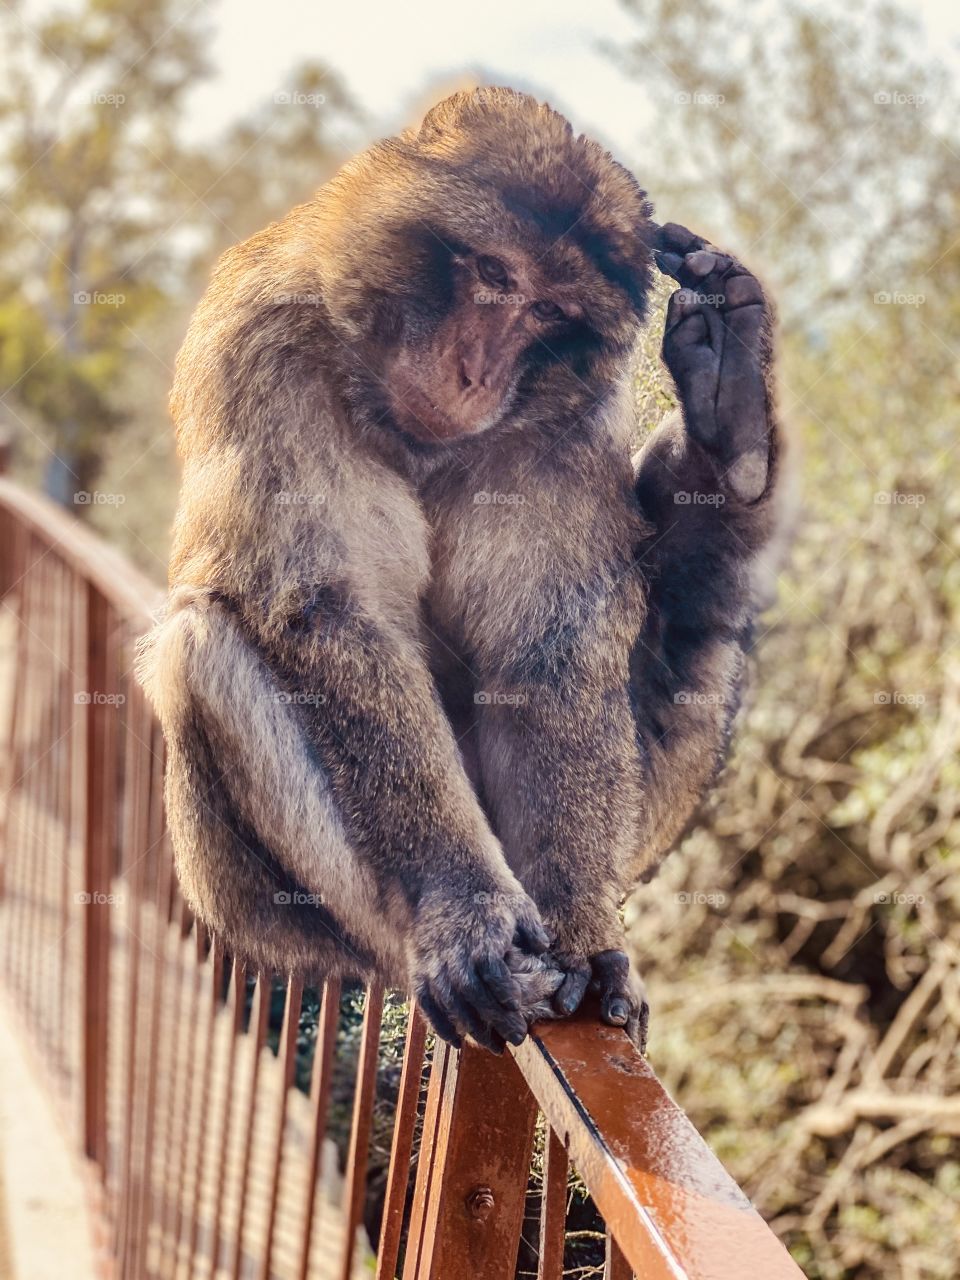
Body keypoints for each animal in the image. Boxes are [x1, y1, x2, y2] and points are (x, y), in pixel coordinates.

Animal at [136, 87, 783, 1055]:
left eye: (550, 312)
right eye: (494, 275)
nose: (478, 373)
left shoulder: (563, 417)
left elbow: (546, 651)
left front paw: (583, 928)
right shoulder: (264, 340)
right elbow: (330, 612)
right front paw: (462, 910)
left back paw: (730, 416)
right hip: (258, 910)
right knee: (205, 642)